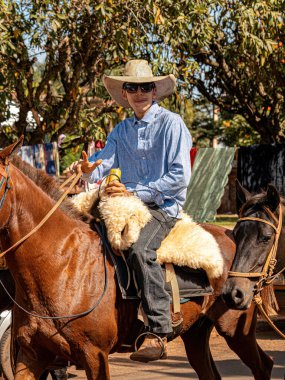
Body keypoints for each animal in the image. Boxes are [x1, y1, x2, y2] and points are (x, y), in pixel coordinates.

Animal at [0, 140, 272, 380]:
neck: (62, 264)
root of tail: (231, 236)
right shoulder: (31, 354)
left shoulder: (94, 356)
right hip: (195, 333)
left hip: (236, 330)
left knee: (264, 365)